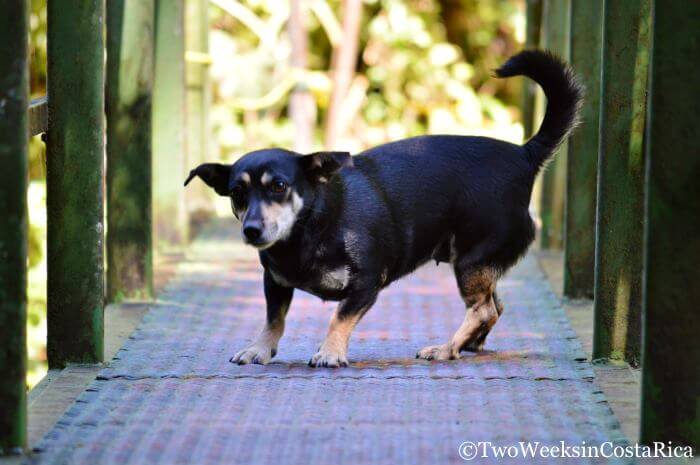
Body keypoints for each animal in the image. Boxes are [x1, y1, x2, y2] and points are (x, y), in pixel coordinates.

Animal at [185, 50, 580, 368]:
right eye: (237, 193)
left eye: (279, 187)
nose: (251, 230)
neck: (311, 227)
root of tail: (524, 154)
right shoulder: (275, 282)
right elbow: (274, 319)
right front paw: (260, 348)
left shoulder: (366, 284)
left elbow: (339, 318)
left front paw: (330, 352)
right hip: (478, 264)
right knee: (494, 308)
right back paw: (468, 344)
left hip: (471, 261)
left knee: (482, 309)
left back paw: (446, 348)